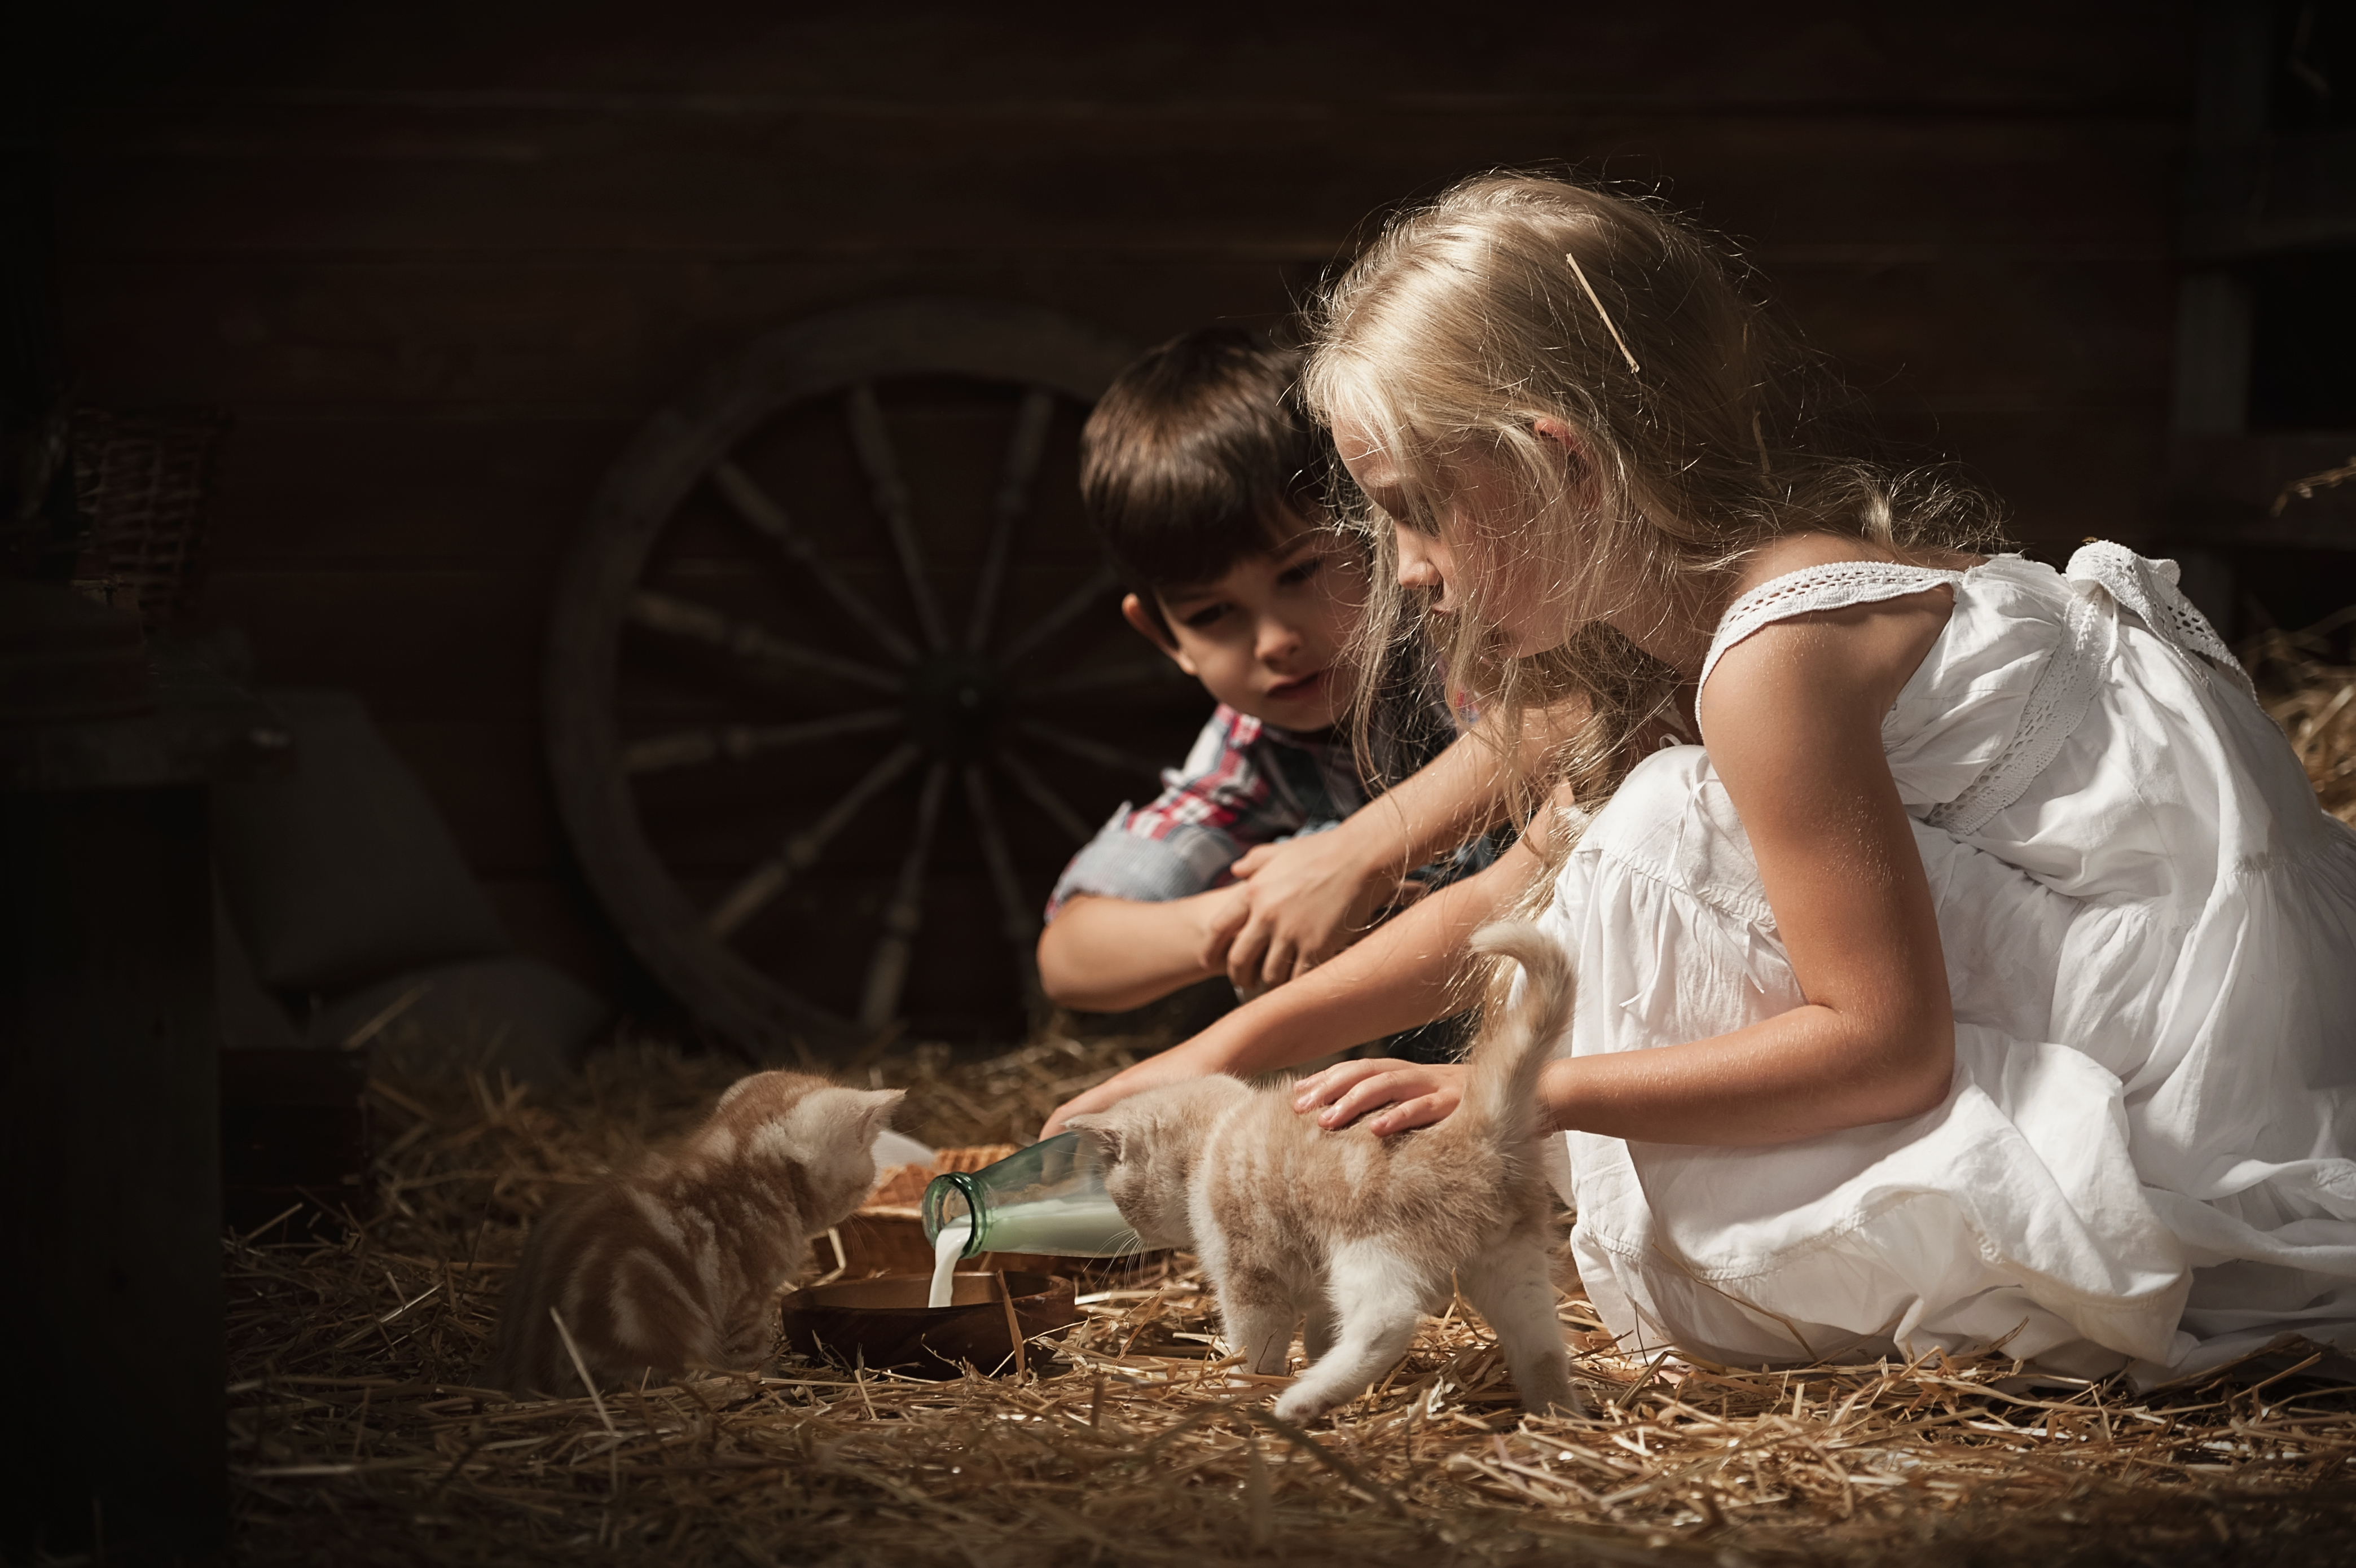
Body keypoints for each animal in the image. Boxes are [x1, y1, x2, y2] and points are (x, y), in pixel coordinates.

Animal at [487, 1065, 900, 1395]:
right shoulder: (745, 1301)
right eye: (867, 1175)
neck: (745, 1173)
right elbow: (751, 1355)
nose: (871, 1188)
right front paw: (770, 1381)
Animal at [1074, 919, 1583, 1415]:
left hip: (1372, 1254)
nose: (1133, 1232)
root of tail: (1478, 1124)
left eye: (1120, 1198)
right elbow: (1320, 1330)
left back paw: (1303, 1400)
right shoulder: (1317, 1286)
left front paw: (1242, 1387)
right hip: (1514, 1269)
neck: (1212, 1138)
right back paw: (1557, 1416)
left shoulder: (1249, 1275)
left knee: (1387, 1322)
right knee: (1542, 1348)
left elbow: (1256, 1346)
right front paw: (1308, 1359)